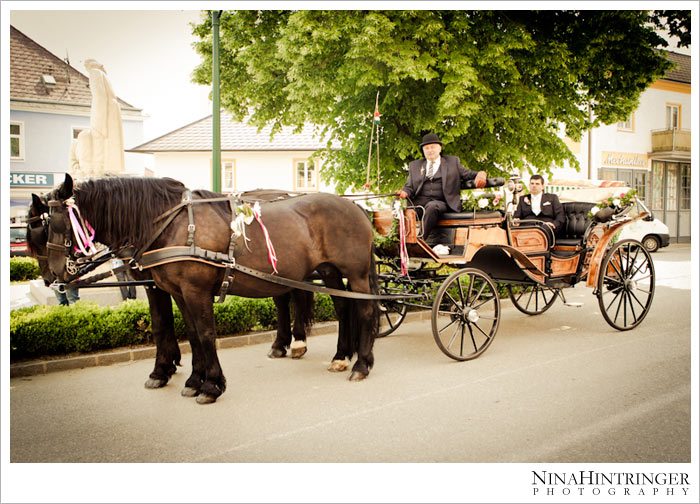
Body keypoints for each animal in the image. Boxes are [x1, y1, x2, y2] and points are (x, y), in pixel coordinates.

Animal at [42, 175, 378, 404]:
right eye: (41, 222)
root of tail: (356, 206)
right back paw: (340, 356)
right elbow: (189, 334)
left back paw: (361, 364)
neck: (171, 224)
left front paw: (211, 385)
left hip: (356, 274)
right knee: (344, 308)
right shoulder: (177, 291)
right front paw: (192, 379)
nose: (53, 274)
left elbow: (205, 334)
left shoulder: (195, 290)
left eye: (55, 223)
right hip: (331, 273)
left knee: (365, 310)